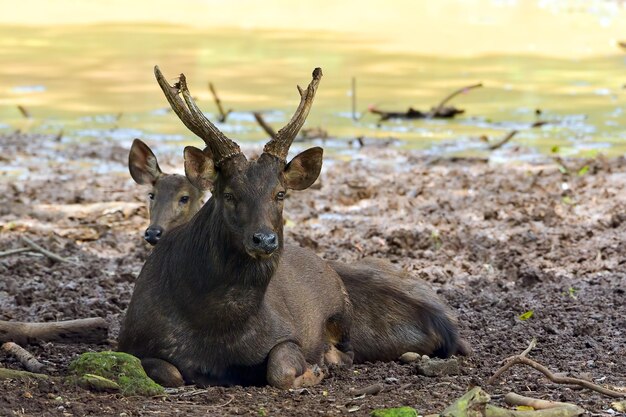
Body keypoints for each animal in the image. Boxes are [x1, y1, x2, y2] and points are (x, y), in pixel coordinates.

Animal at [119, 66, 464, 388]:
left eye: (280, 193)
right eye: (228, 194)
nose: (264, 239)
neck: (216, 329)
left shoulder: (287, 333)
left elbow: (279, 368)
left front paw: (313, 370)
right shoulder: (131, 341)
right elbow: (171, 373)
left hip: (343, 311)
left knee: (347, 353)